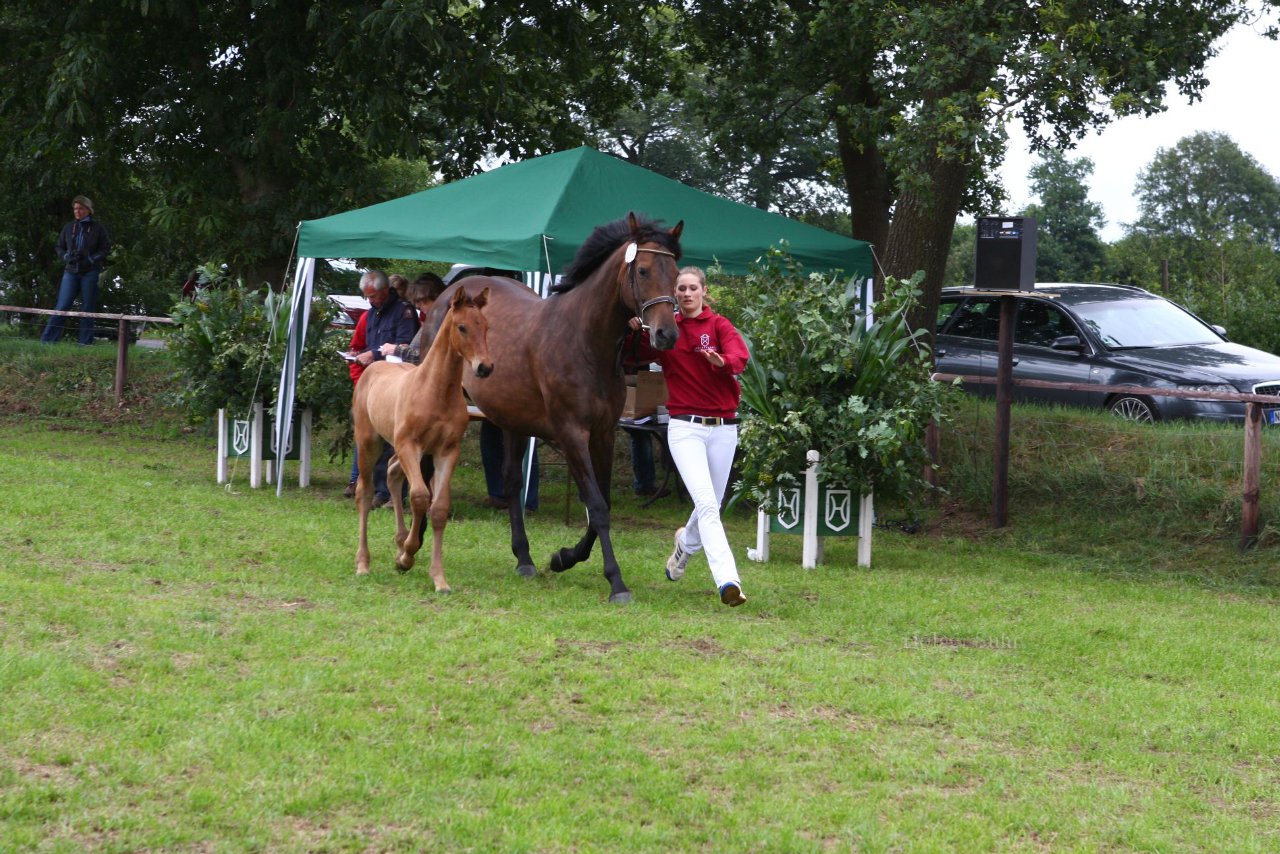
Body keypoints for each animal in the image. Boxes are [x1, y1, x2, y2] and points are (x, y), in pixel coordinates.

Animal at [353, 285, 491, 588]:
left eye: (487, 326)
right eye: (462, 327)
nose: (485, 367)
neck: (434, 391)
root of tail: (372, 368)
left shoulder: (446, 451)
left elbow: (438, 508)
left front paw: (438, 578)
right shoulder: (410, 446)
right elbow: (418, 497)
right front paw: (407, 555)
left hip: (396, 447)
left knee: (392, 473)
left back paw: (399, 540)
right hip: (369, 442)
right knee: (365, 493)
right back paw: (363, 563)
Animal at [422, 212, 686, 606]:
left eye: (676, 272)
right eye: (642, 270)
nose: (666, 335)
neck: (585, 341)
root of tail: (451, 295)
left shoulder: (603, 434)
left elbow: (600, 505)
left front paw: (563, 558)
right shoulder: (571, 434)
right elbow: (597, 506)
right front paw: (616, 582)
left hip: (513, 422)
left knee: (512, 481)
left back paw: (524, 559)